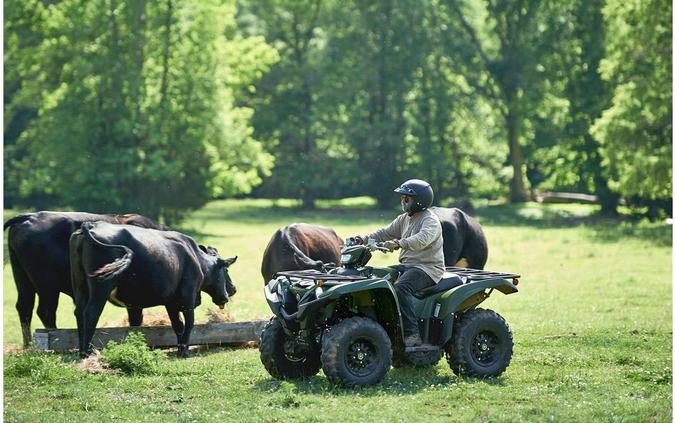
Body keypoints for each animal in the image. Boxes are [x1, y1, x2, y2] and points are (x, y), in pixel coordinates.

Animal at [4, 212, 172, 348]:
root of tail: (30, 216)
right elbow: (136, 318)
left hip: (22, 278)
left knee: (24, 307)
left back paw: (27, 345)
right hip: (47, 286)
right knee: (45, 311)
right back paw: (55, 337)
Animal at [69, 222, 238, 358]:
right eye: (226, 269)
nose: (233, 289)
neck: (196, 258)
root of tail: (91, 225)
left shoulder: (171, 302)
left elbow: (178, 325)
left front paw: (179, 349)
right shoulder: (188, 298)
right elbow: (189, 324)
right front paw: (184, 351)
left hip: (80, 286)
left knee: (79, 313)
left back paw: (82, 350)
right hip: (101, 288)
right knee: (91, 313)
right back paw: (87, 352)